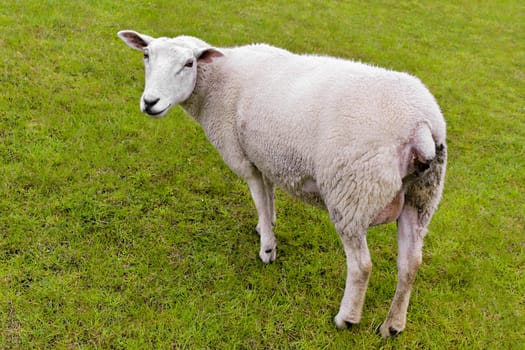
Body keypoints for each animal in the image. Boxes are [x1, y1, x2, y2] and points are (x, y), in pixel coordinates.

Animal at [117, 30, 446, 336]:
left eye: (189, 63)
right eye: (146, 56)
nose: (150, 102)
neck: (215, 85)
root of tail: (420, 125)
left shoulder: (242, 157)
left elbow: (259, 197)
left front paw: (267, 248)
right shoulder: (265, 155)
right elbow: (269, 195)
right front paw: (268, 226)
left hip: (352, 191)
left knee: (362, 265)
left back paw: (346, 319)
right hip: (422, 197)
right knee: (410, 264)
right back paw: (392, 325)